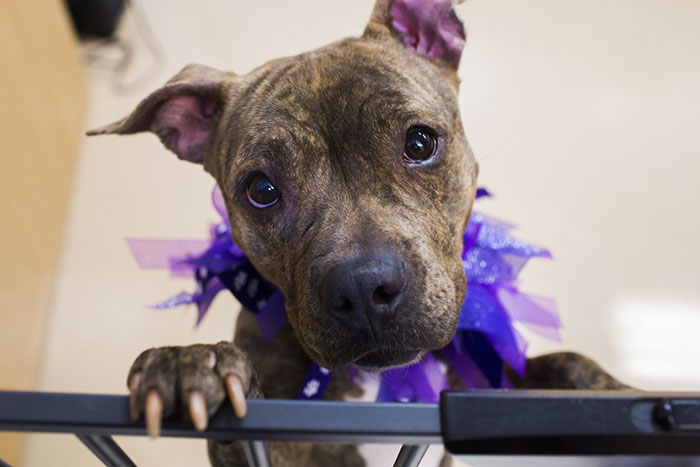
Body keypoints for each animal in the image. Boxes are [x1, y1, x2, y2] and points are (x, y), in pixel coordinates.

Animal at [87, 0, 624, 467]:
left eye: (420, 143)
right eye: (261, 190)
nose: (363, 288)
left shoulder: (490, 379)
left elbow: (569, 363)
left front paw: (623, 395)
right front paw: (192, 366)